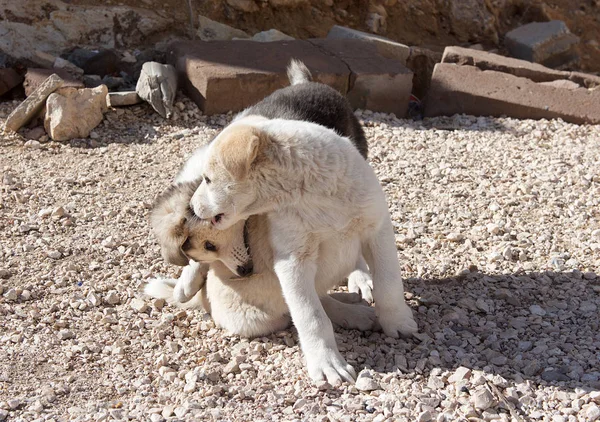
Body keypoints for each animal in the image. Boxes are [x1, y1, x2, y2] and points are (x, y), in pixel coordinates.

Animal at [191, 117, 418, 384]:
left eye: (207, 179)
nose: (191, 207)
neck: (312, 192)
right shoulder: (293, 260)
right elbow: (311, 315)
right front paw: (327, 363)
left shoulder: (377, 229)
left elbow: (389, 285)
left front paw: (398, 321)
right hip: (257, 318)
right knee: (309, 305)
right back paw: (355, 314)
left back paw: (357, 311)